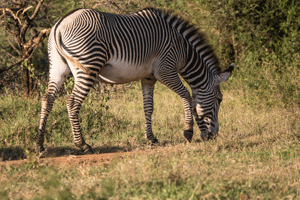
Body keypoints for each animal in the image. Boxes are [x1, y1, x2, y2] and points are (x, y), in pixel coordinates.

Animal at [36, 7, 234, 154]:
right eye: (219, 100)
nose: (213, 137)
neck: (183, 51)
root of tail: (59, 24)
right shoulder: (165, 70)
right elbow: (187, 95)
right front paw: (188, 131)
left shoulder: (148, 77)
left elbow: (148, 107)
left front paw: (151, 138)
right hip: (88, 65)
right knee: (72, 103)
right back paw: (83, 145)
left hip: (58, 68)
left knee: (48, 99)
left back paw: (40, 144)